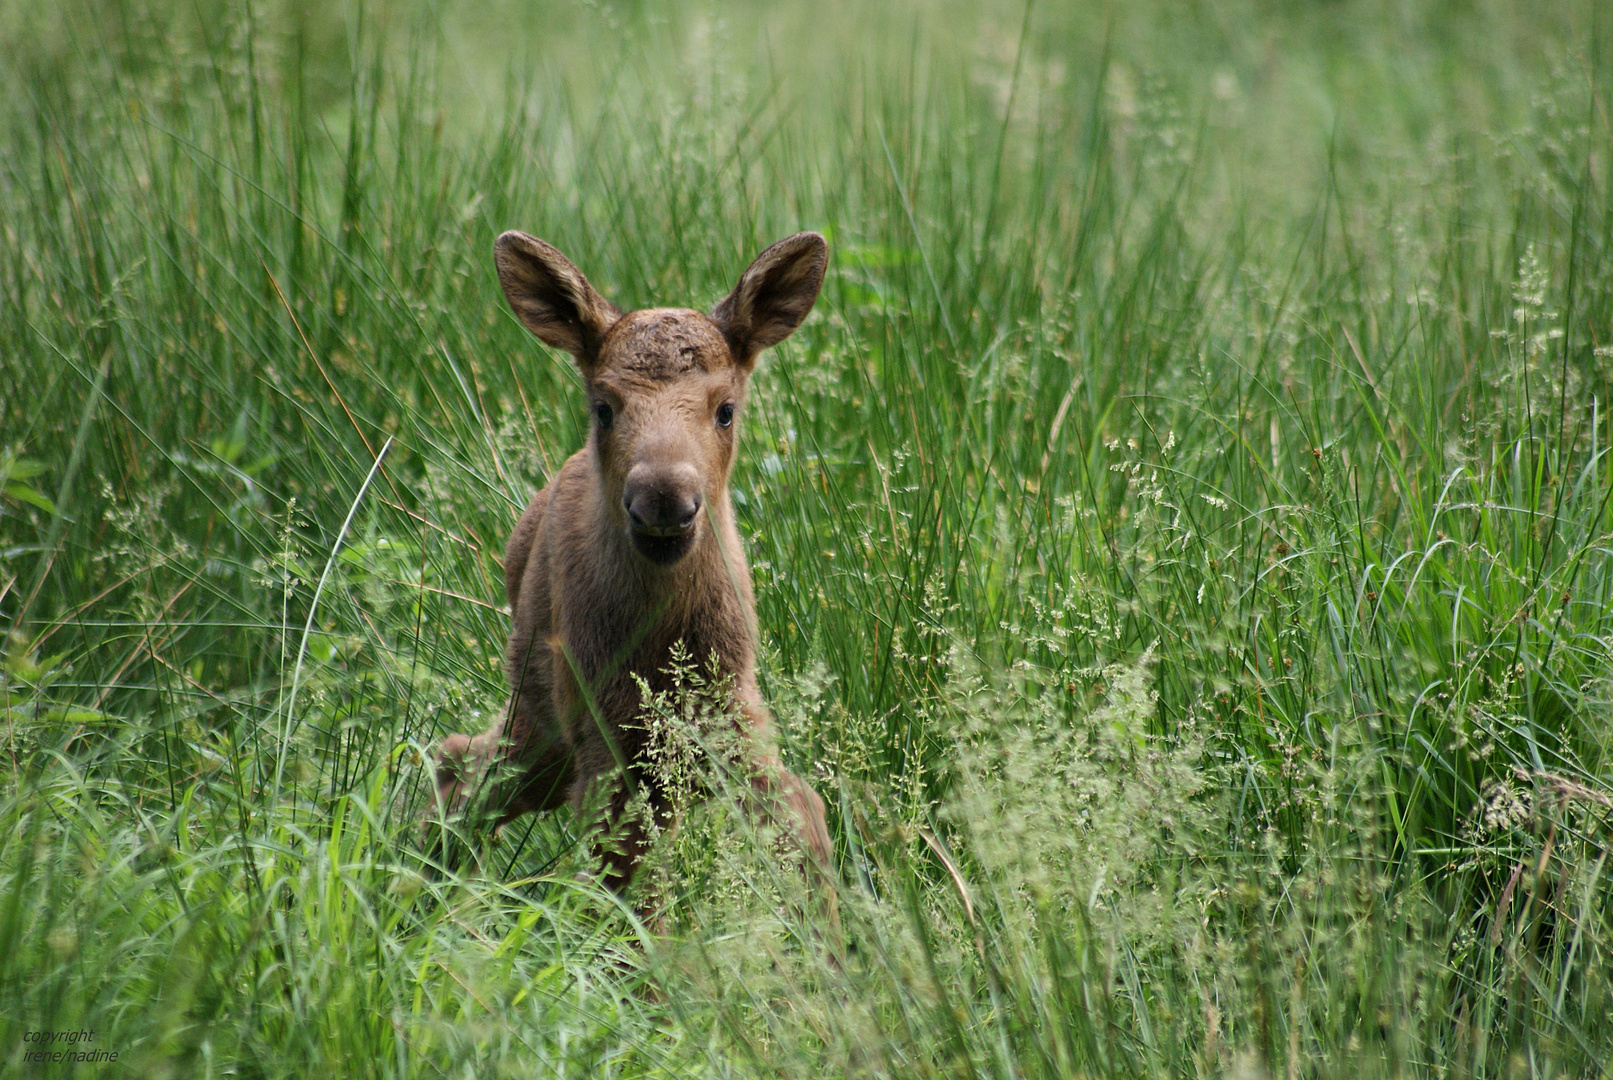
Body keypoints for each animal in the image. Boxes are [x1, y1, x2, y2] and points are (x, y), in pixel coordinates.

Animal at [432, 230, 832, 902]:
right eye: (604, 407)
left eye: (725, 408)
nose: (663, 501)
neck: (664, 637)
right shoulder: (607, 739)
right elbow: (626, 887)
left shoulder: (731, 712)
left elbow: (802, 825)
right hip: (542, 708)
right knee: (465, 764)